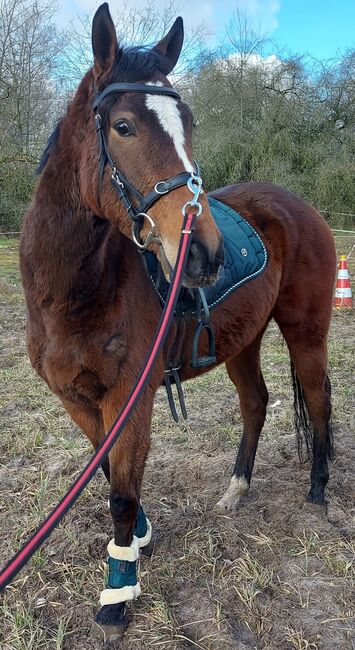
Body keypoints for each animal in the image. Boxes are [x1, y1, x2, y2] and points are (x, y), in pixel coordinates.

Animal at [18, 1, 336, 632]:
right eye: (123, 126)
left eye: (187, 124)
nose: (205, 254)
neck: (72, 291)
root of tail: (300, 206)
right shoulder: (77, 396)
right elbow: (108, 468)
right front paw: (138, 539)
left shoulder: (130, 395)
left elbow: (120, 489)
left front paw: (118, 590)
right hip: (241, 341)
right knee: (256, 403)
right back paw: (236, 491)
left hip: (305, 334)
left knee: (317, 398)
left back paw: (317, 489)